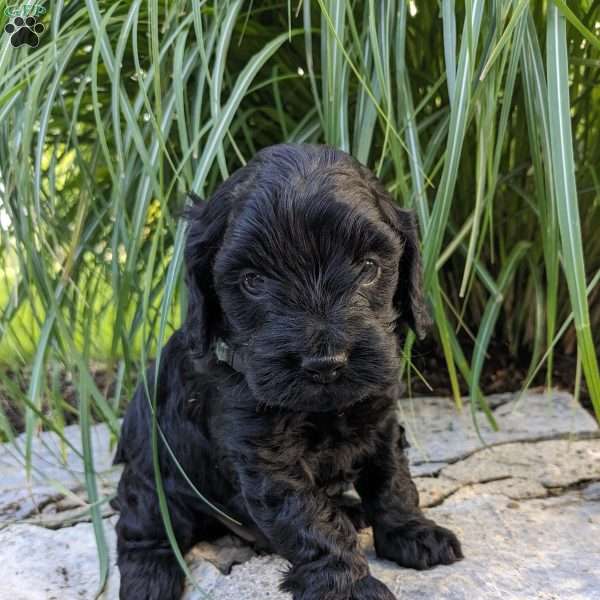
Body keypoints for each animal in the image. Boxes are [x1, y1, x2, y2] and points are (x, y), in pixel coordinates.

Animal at [112, 144, 462, 600]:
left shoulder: (380, 415)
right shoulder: (267, 457)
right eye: (253, 281)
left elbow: (392, 480)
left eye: (368, 267)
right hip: (155, 478)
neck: (325, 409)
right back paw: (150, 577)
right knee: (142, 526)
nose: (325, 364)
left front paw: (413, 533)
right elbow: (310, 519)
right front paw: (350, 586)